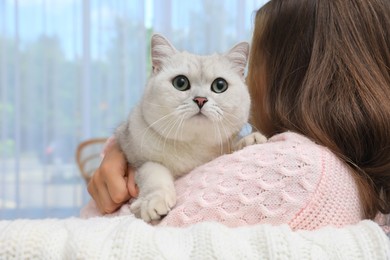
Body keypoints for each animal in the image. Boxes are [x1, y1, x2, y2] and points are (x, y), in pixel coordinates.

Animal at [115, 33, 266, 222]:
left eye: (220, 85)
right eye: (180, 82)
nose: (200, 99)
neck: (193, 146)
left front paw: (250, 139)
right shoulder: (136, 160)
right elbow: (154, 170)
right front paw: (153, 201)